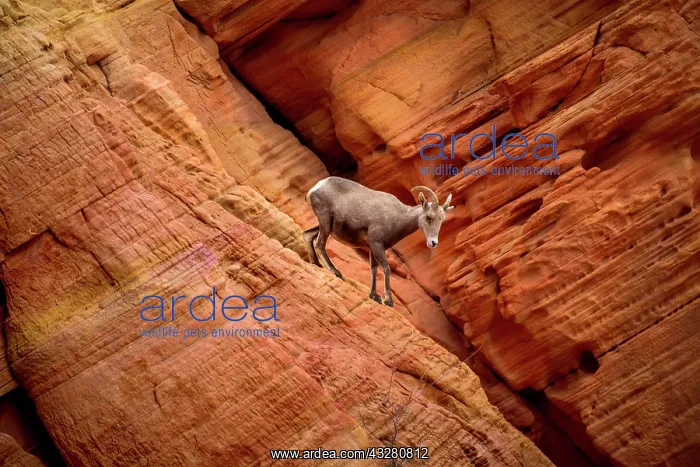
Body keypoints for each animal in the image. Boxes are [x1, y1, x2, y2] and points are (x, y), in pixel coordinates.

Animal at [303, 176, 454, 307]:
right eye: (429, 217)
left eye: (442, 220)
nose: (433, 243)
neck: (398, 218)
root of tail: (315, 188)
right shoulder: (377, 245)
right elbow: (386, 268)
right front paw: (388, 301)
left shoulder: (372, 247)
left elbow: (374, 269)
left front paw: (374, 296)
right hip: (325, 222)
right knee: (319, 244)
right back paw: (336, 272)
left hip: (325, 226)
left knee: (307, 235)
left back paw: (316, 264)